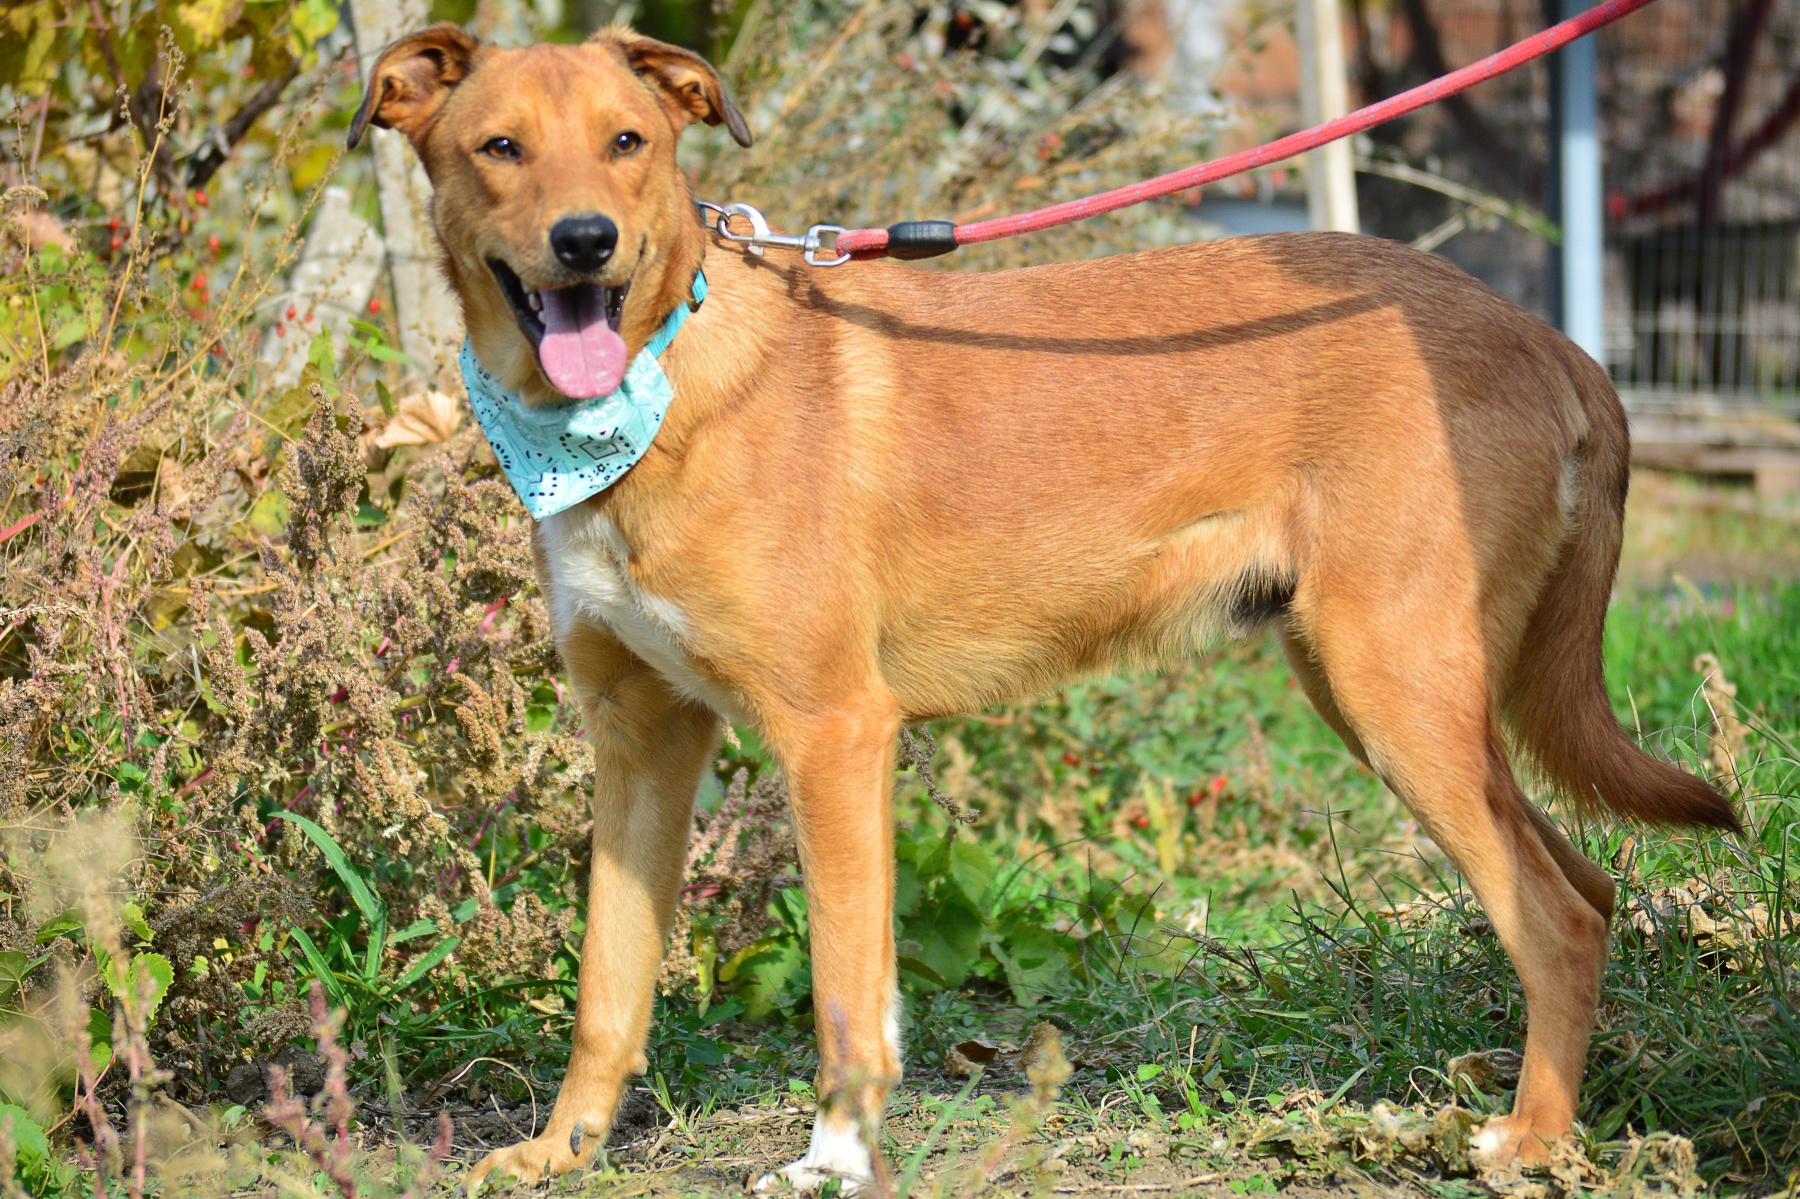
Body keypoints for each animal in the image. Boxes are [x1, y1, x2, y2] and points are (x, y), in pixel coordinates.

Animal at [346, 24, 1738, 1192]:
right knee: (1589, 888)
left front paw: (835, 1158)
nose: (585, 240)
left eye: (629, 142)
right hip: (1381, 692)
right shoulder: (641, 738)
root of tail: (1557, 344)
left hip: (1397, 687)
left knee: (1557, 916)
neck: (649, 388)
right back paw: (1562, 1102)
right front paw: (559, 1151)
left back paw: (1535, 1141)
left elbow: (848, 990)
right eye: (499, 148)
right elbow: (608, 985)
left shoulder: (834, 736)